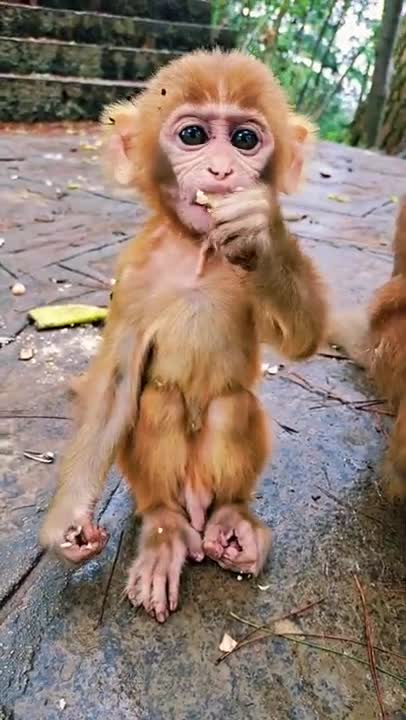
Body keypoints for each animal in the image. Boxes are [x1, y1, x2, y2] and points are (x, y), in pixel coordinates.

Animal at [39, 49, 327, 622]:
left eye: (245, 139)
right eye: (193, 134)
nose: (221, 170)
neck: (199, 253)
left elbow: (303, 337)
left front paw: (262, 229)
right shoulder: (132, 279)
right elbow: (117, 389)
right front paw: (68, 522)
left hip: (215, 480)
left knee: (230, 406)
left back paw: (231, 520)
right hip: (161, 486)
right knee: (156, 402)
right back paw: (166, 531)